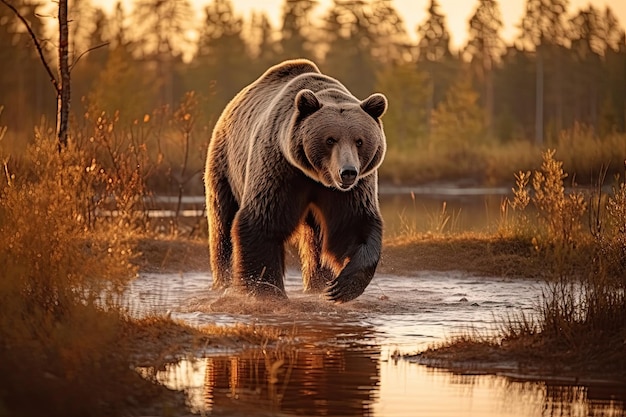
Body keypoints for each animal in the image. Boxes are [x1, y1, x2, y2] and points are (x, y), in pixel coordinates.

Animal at [206, 58, 386, 300]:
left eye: (359, 141)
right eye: (330, 139)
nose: (347, 172)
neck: (316, 176)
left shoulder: (352, 189)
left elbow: (353, 225)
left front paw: (340, 287)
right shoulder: (281, 168)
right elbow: (263, 221)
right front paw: (265, 291)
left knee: (316, 238)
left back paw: (318, 283)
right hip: (225, 165)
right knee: (221, 223)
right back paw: (222, 281)